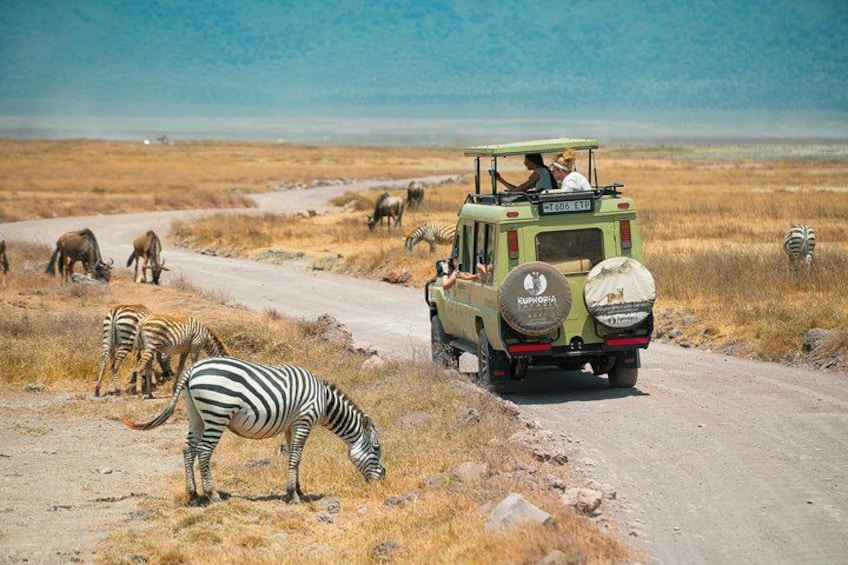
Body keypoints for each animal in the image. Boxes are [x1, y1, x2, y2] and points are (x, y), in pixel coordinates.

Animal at [121, 356, 386, 504]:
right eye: (377, 448)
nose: (383, 478)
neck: (324, 401)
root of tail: (191, 369)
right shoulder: (304, 420)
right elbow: (296, 457)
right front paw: (294, 495)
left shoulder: (291, 425)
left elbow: (293, 457)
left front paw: (297, 490)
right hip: (217, 414)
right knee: (204, 452)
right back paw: (212, 495)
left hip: (195, 415)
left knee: (188, 449)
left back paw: (193, 494)